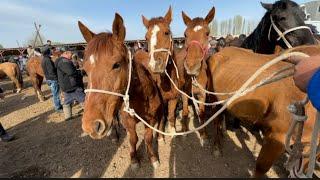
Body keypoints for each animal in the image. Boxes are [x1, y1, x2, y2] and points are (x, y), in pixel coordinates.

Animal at [79, 13, 164, 169]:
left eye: (116, 64)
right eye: (85, 70)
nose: (90, 125)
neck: (140, 99)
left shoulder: (151, 119)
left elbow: (148, 138)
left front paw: (153, 158)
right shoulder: (128, 121)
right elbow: (133, 139)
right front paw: (134, 159)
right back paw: (114, 134)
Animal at [208, 44, 320, 176]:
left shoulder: (309, 145)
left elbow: (303, 168)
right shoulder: (277, 136)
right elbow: (261, 167)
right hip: (213, 96)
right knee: (216, 119)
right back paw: (216, 146)